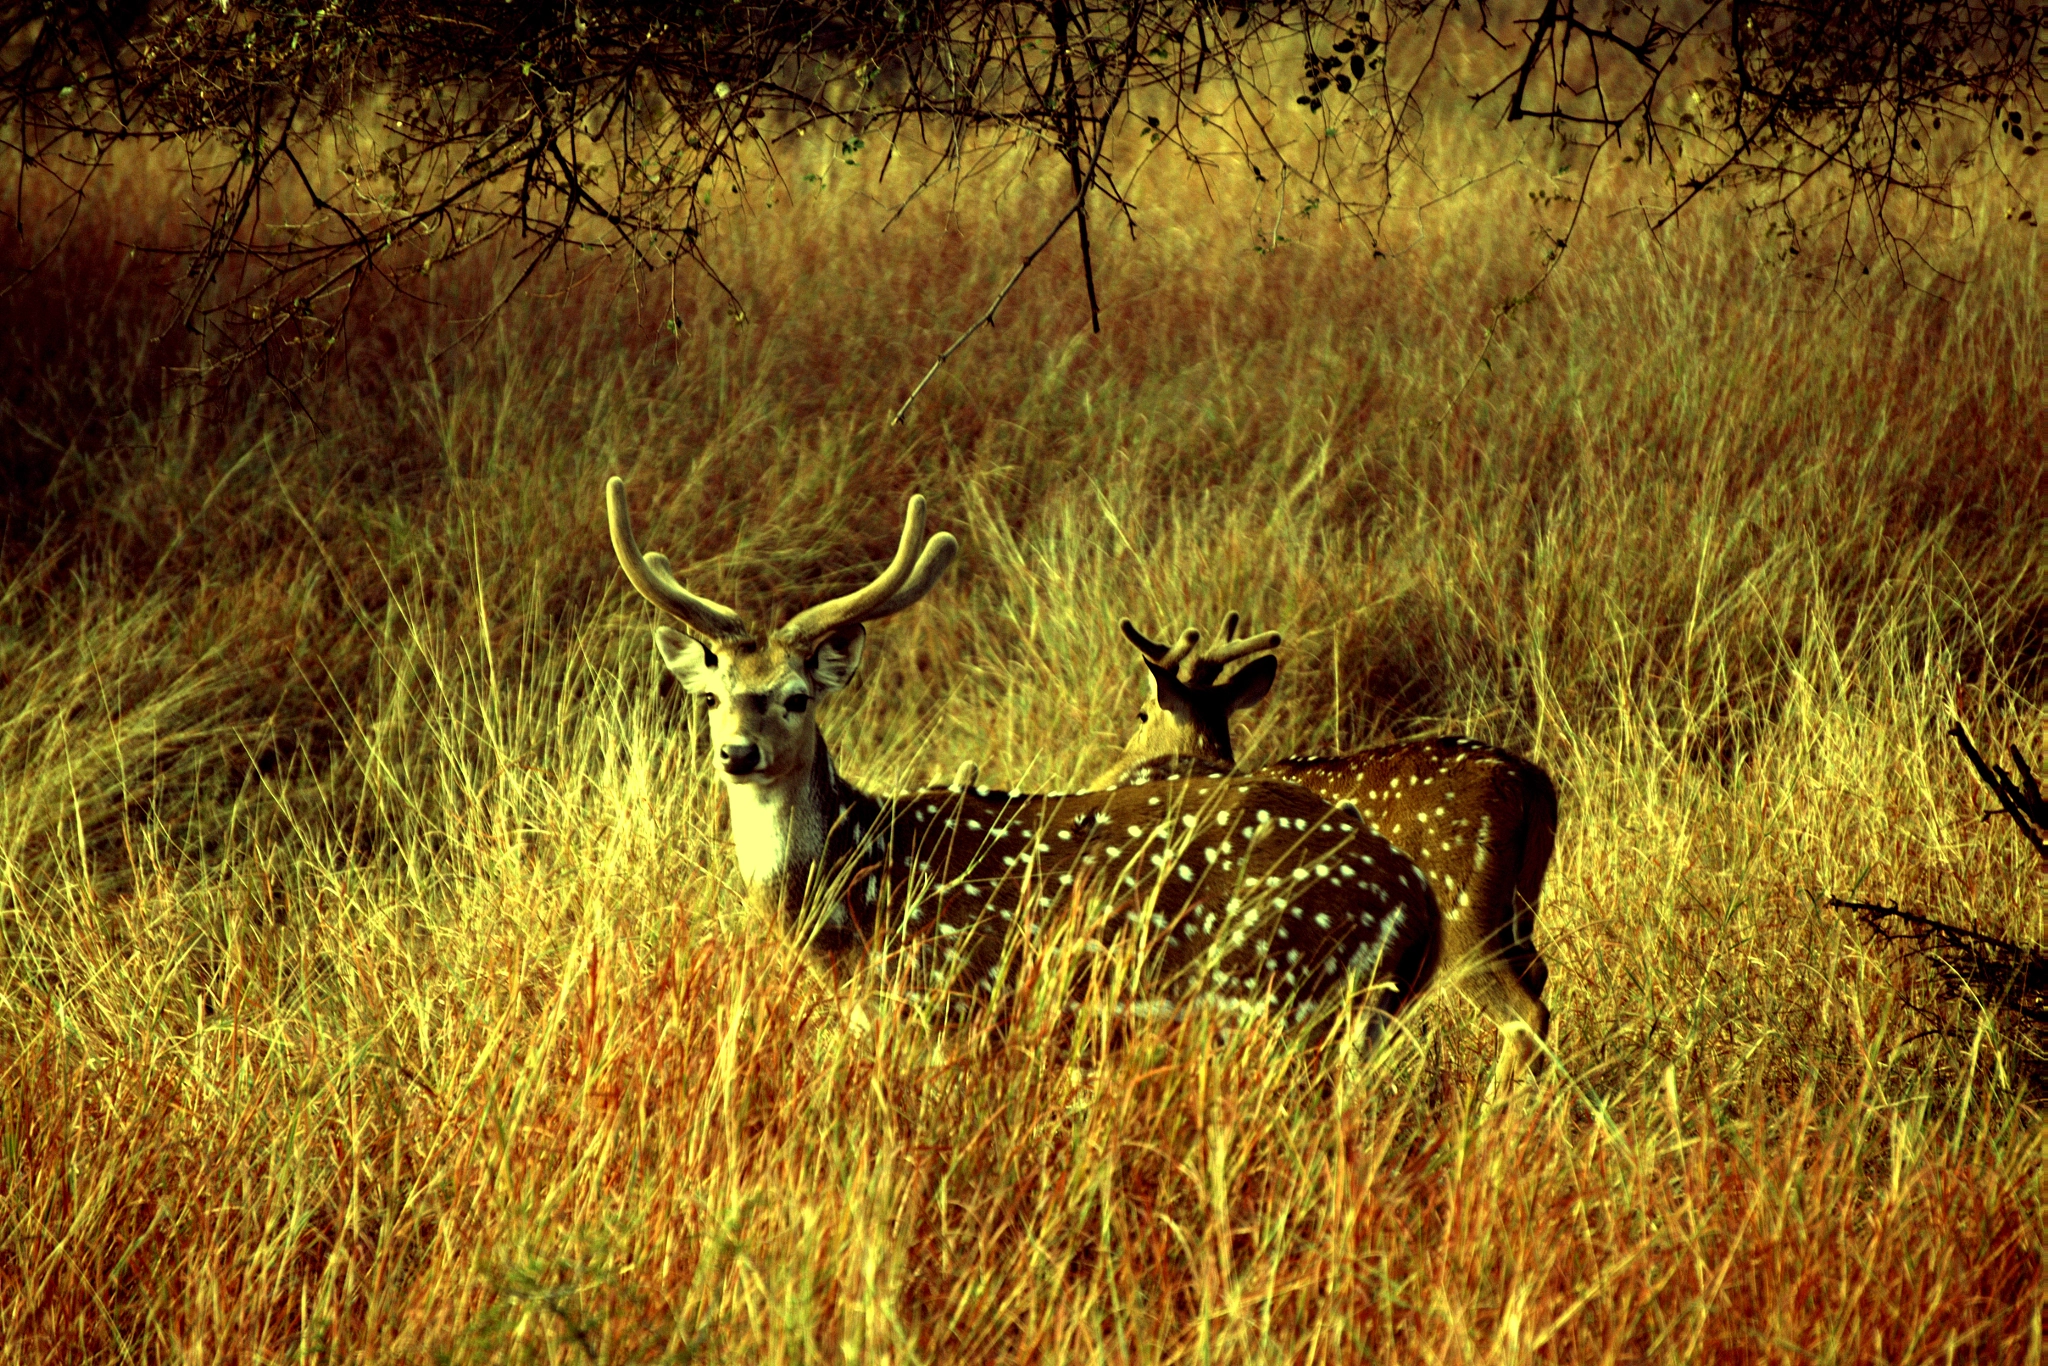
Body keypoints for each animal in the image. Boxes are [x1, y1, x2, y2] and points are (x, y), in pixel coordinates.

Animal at [605, 478, 1440, 1063]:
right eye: (710, 696)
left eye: (797, 696)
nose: (738, 753)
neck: (852, 899)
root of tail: (1419, 907)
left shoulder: (950, 1000)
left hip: (1287, 1000)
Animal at [1099, 613, 1557, 1094]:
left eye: (1142, 714)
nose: (1106, 777)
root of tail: (1534, 784)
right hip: (1516, 909)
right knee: (1537, 974)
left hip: (1462, 914)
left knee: (1526, 1012)